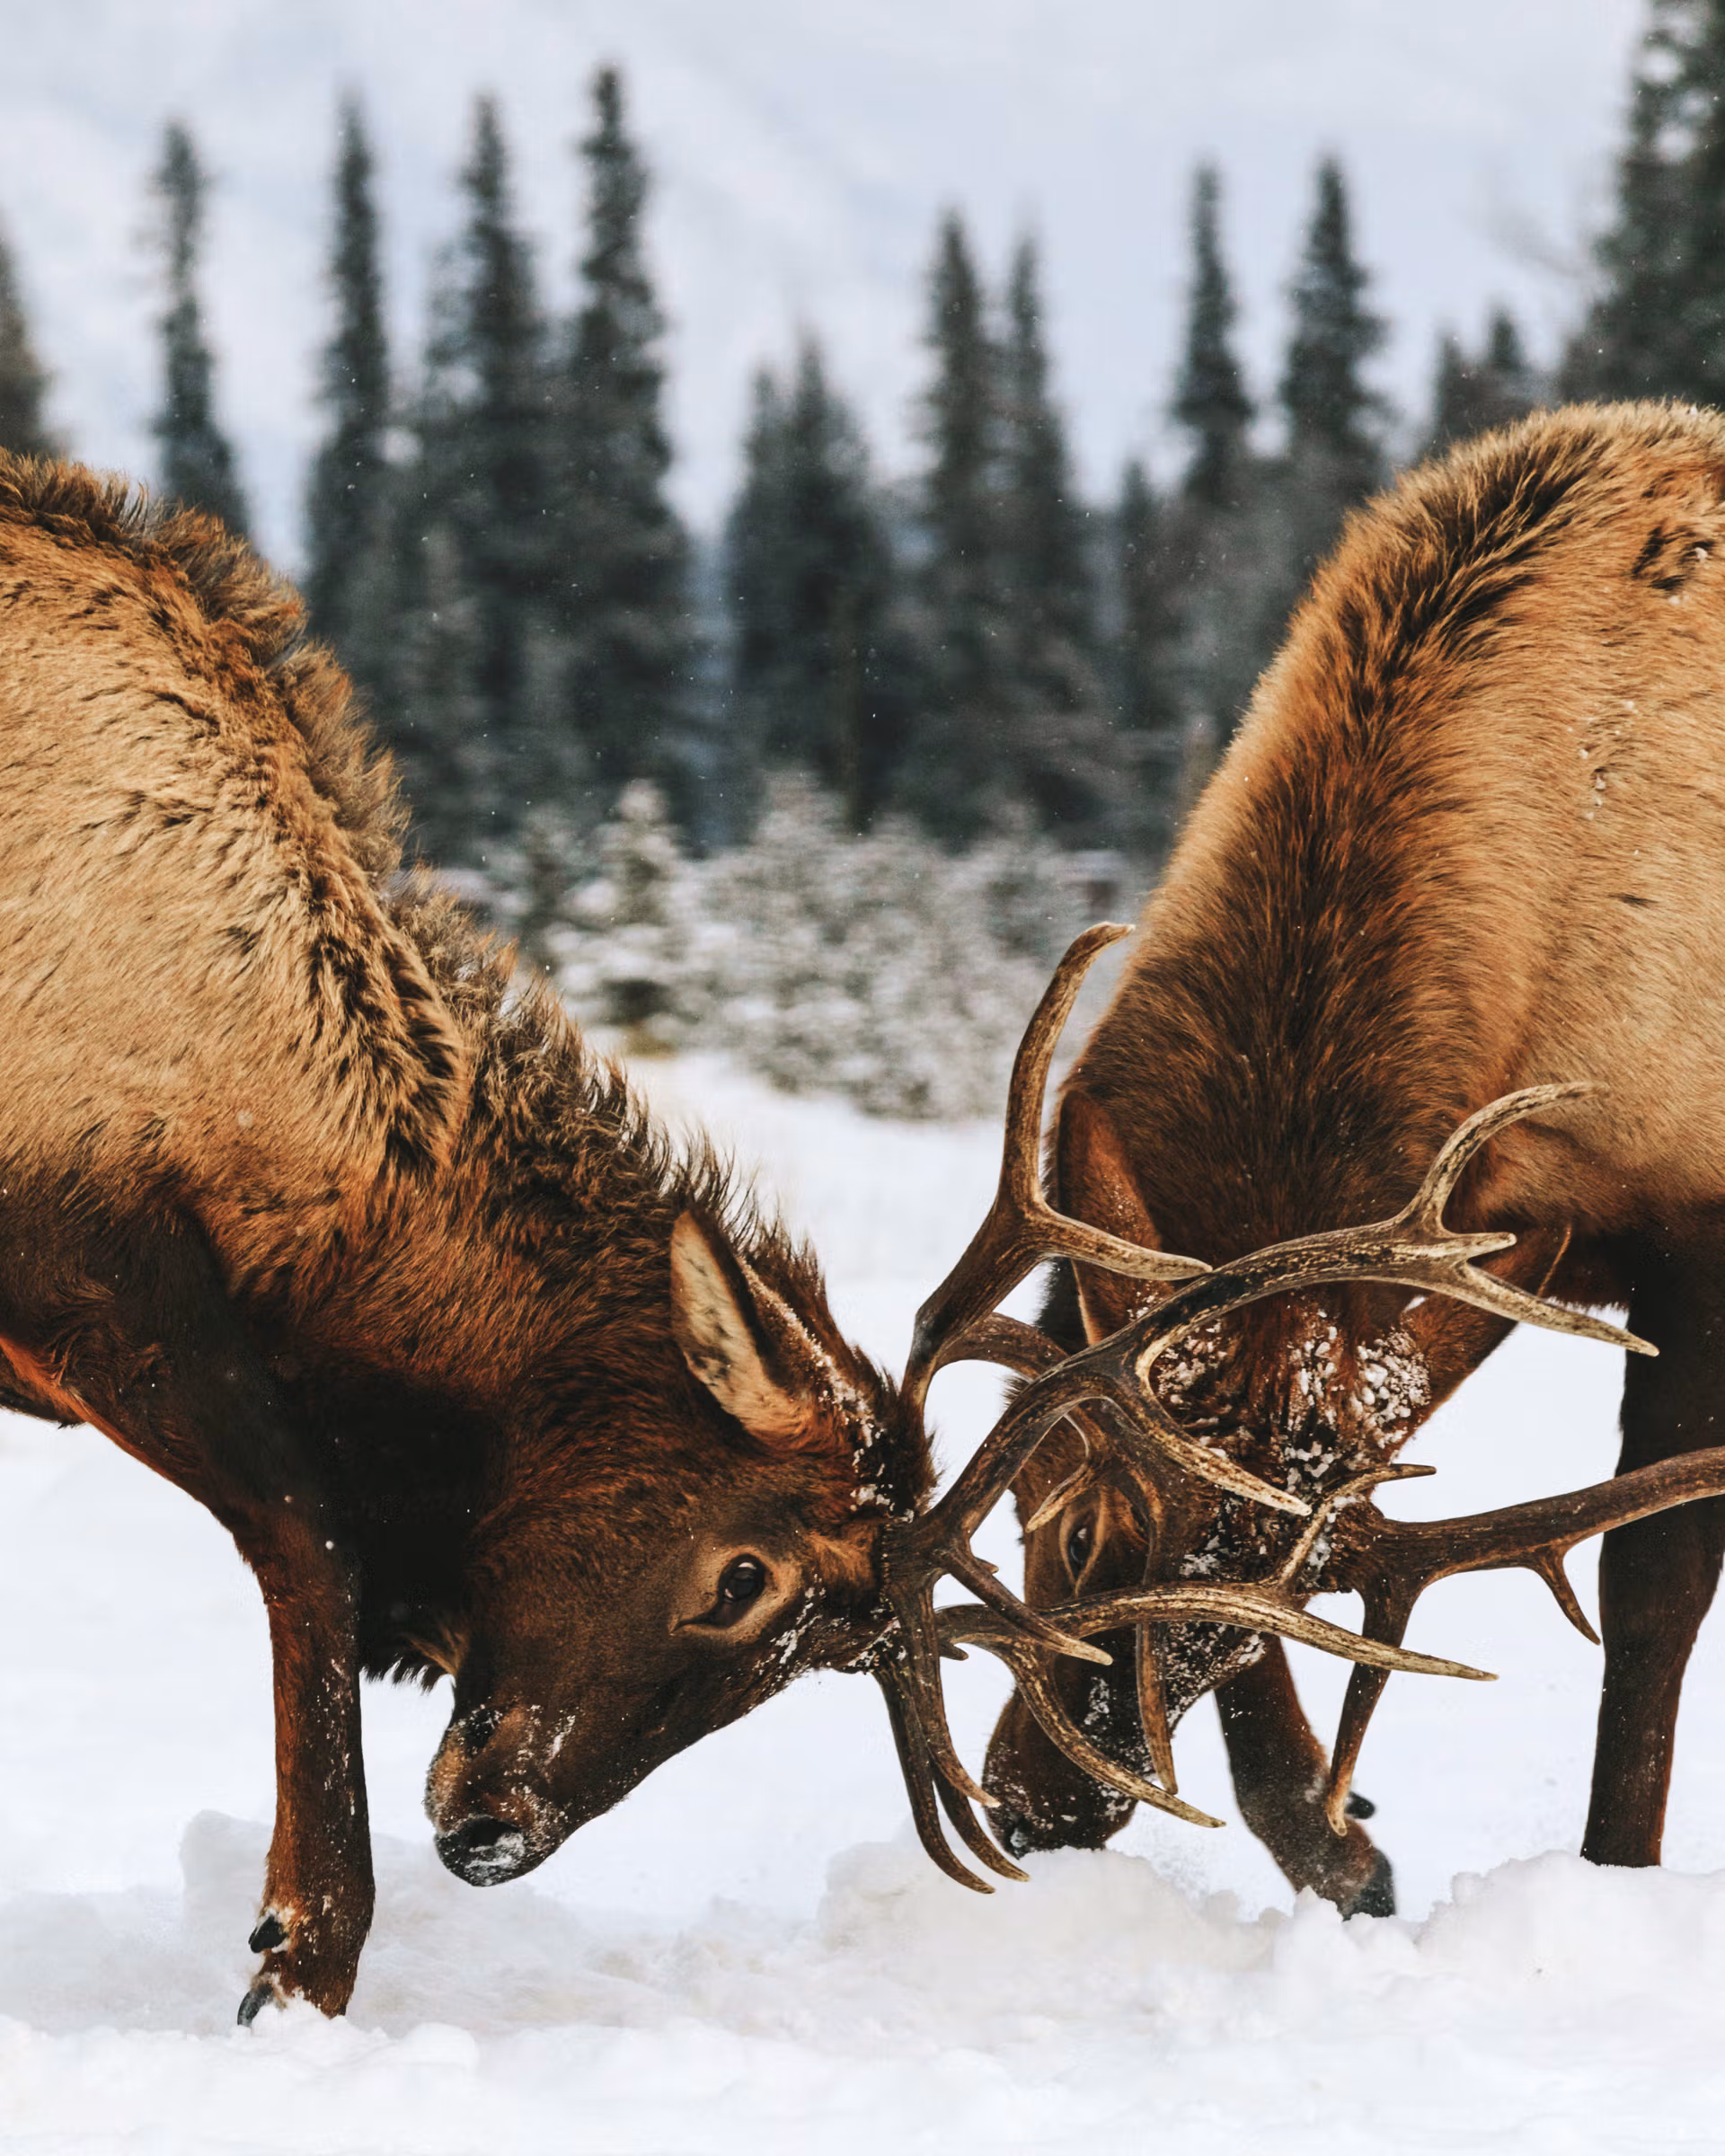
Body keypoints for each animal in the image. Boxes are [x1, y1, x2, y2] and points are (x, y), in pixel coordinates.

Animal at [883, 399, 1725, 1914]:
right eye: (1062, 1516)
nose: (1043, 1806)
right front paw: (1339, 1845)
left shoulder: (1699, 1222)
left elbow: (1654, 1586)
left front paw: (1609, 1867)